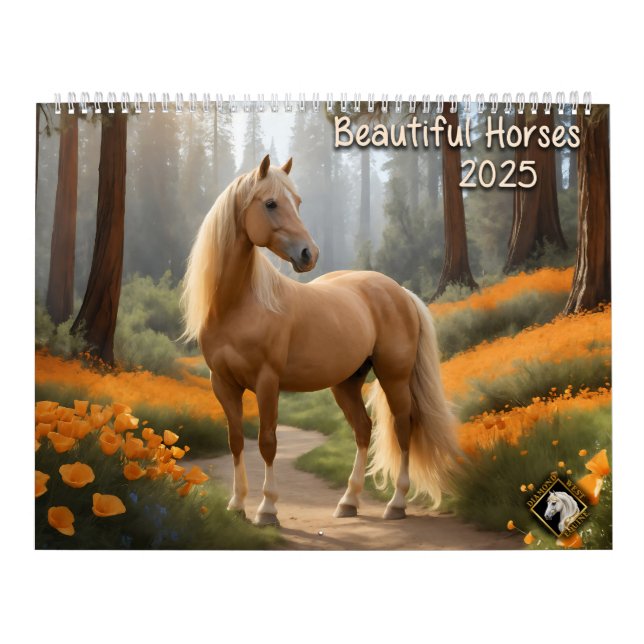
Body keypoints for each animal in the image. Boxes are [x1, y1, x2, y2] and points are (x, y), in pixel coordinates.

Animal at [181, 154, 458, 527]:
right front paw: (237, 505)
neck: (238, 304)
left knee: (403, 428)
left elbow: (267, 441)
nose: (308, 254)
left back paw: (396, 504)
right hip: (346, 383)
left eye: (297, 202)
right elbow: (236, 440)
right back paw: (348, 501)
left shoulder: (267, 382)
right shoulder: (222, 384)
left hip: (395, 378)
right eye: (270, 203)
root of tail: (399, 291)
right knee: (363, 429)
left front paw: (267, 509)